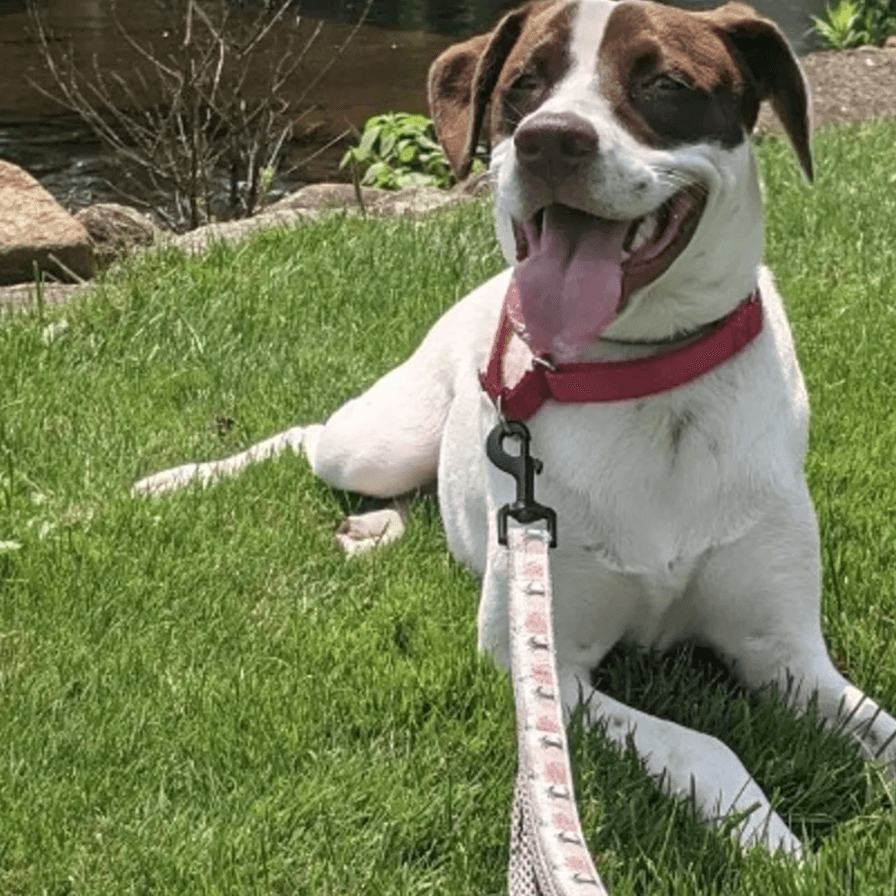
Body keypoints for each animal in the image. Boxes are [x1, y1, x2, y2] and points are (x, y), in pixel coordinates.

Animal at [133, 0, 896, 856]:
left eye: (664, 83)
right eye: (523, 85)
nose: (549, 139)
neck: (640, 376)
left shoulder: (786, 652)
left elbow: (877, 726)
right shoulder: (542, 667)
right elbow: (702, 743)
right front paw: (777, 844)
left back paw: (373, 530)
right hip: (375, 444)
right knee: (315, 436)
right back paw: (179, 479)